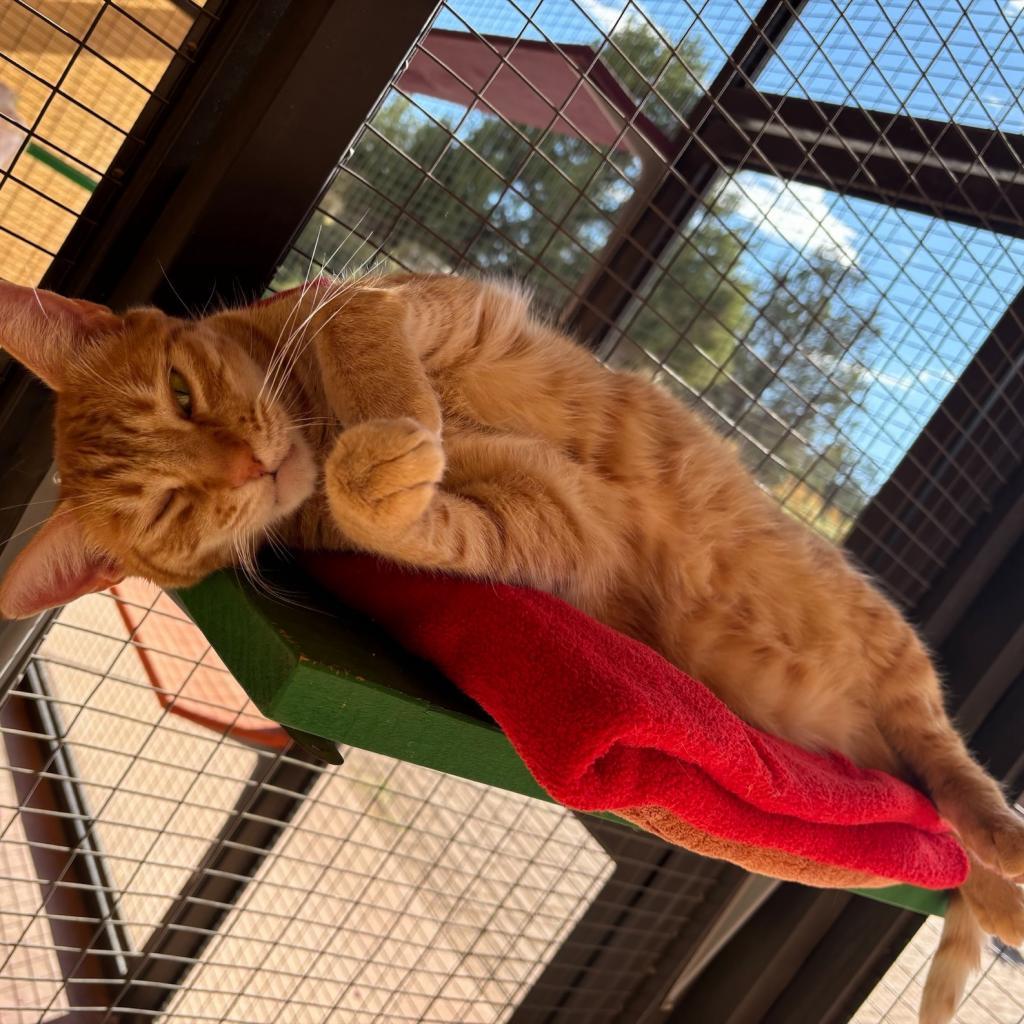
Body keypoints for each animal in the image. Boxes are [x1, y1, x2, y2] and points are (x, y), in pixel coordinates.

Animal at [0, 276, 1019, 1019]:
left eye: (180, 393)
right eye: (172, 507)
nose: (251, 468)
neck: (317, 424)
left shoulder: (382, 298)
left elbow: (362, 343)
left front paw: (391, 428)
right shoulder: (548, 525)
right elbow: (398, 513)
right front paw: (388, 468)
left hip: (907, 682)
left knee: (962, 787)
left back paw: (1004, 844)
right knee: (943, 831)